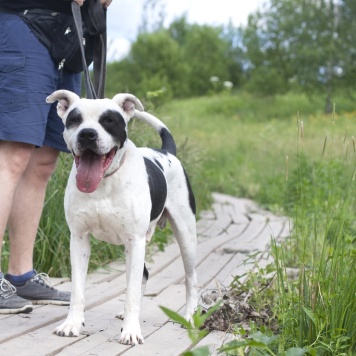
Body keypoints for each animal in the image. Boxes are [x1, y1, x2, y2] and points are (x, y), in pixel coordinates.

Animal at [45, 91, 197, 344]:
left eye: (108, 120)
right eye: (75, 119)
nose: (87, 134)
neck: (105, 181)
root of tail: (167, 152)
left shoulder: (134, 241)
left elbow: (132, 291)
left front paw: (131, 331)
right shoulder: (79, 239)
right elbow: (77, 289)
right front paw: (72, 324)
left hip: (185, 237)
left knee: (191, 278)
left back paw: (189, 316)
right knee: (144, 274)